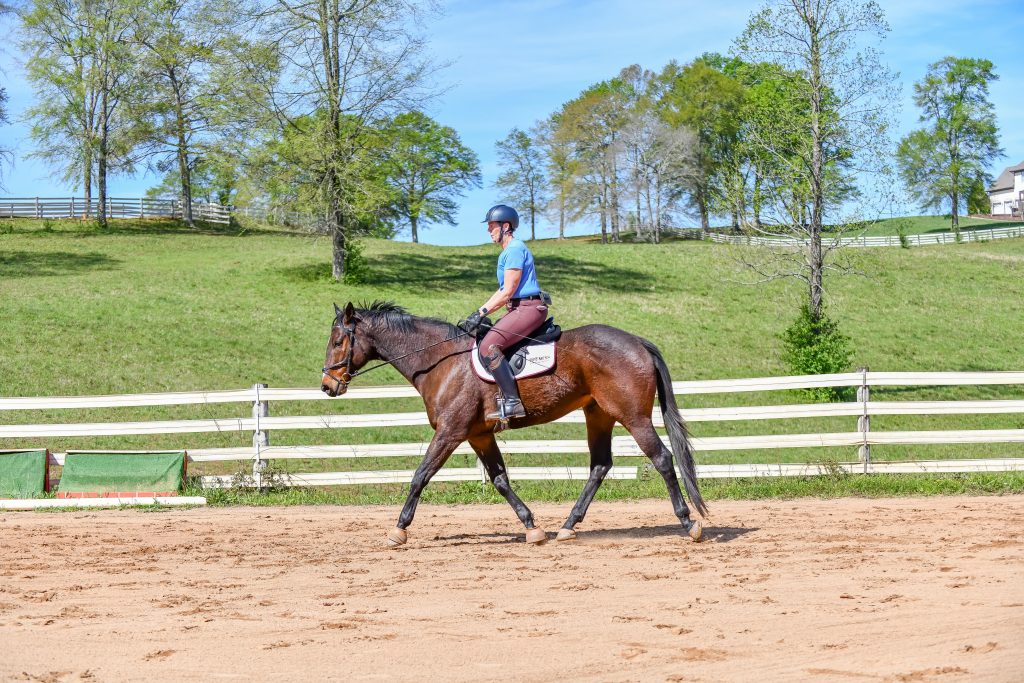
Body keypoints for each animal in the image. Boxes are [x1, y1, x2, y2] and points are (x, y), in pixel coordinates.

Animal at [321, 301, 707, 546]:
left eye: (338, 341)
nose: (327, 386)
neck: (439, 361)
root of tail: (636, 341)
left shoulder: (450, 432)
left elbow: (420, 475)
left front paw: (398, 530)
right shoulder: (478, 436)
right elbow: (500, 480)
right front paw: (531, 527)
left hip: (632, 416)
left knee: (662, 459)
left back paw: (689, 522)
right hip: (598, 414)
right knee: (600, 465)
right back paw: (568, 526)